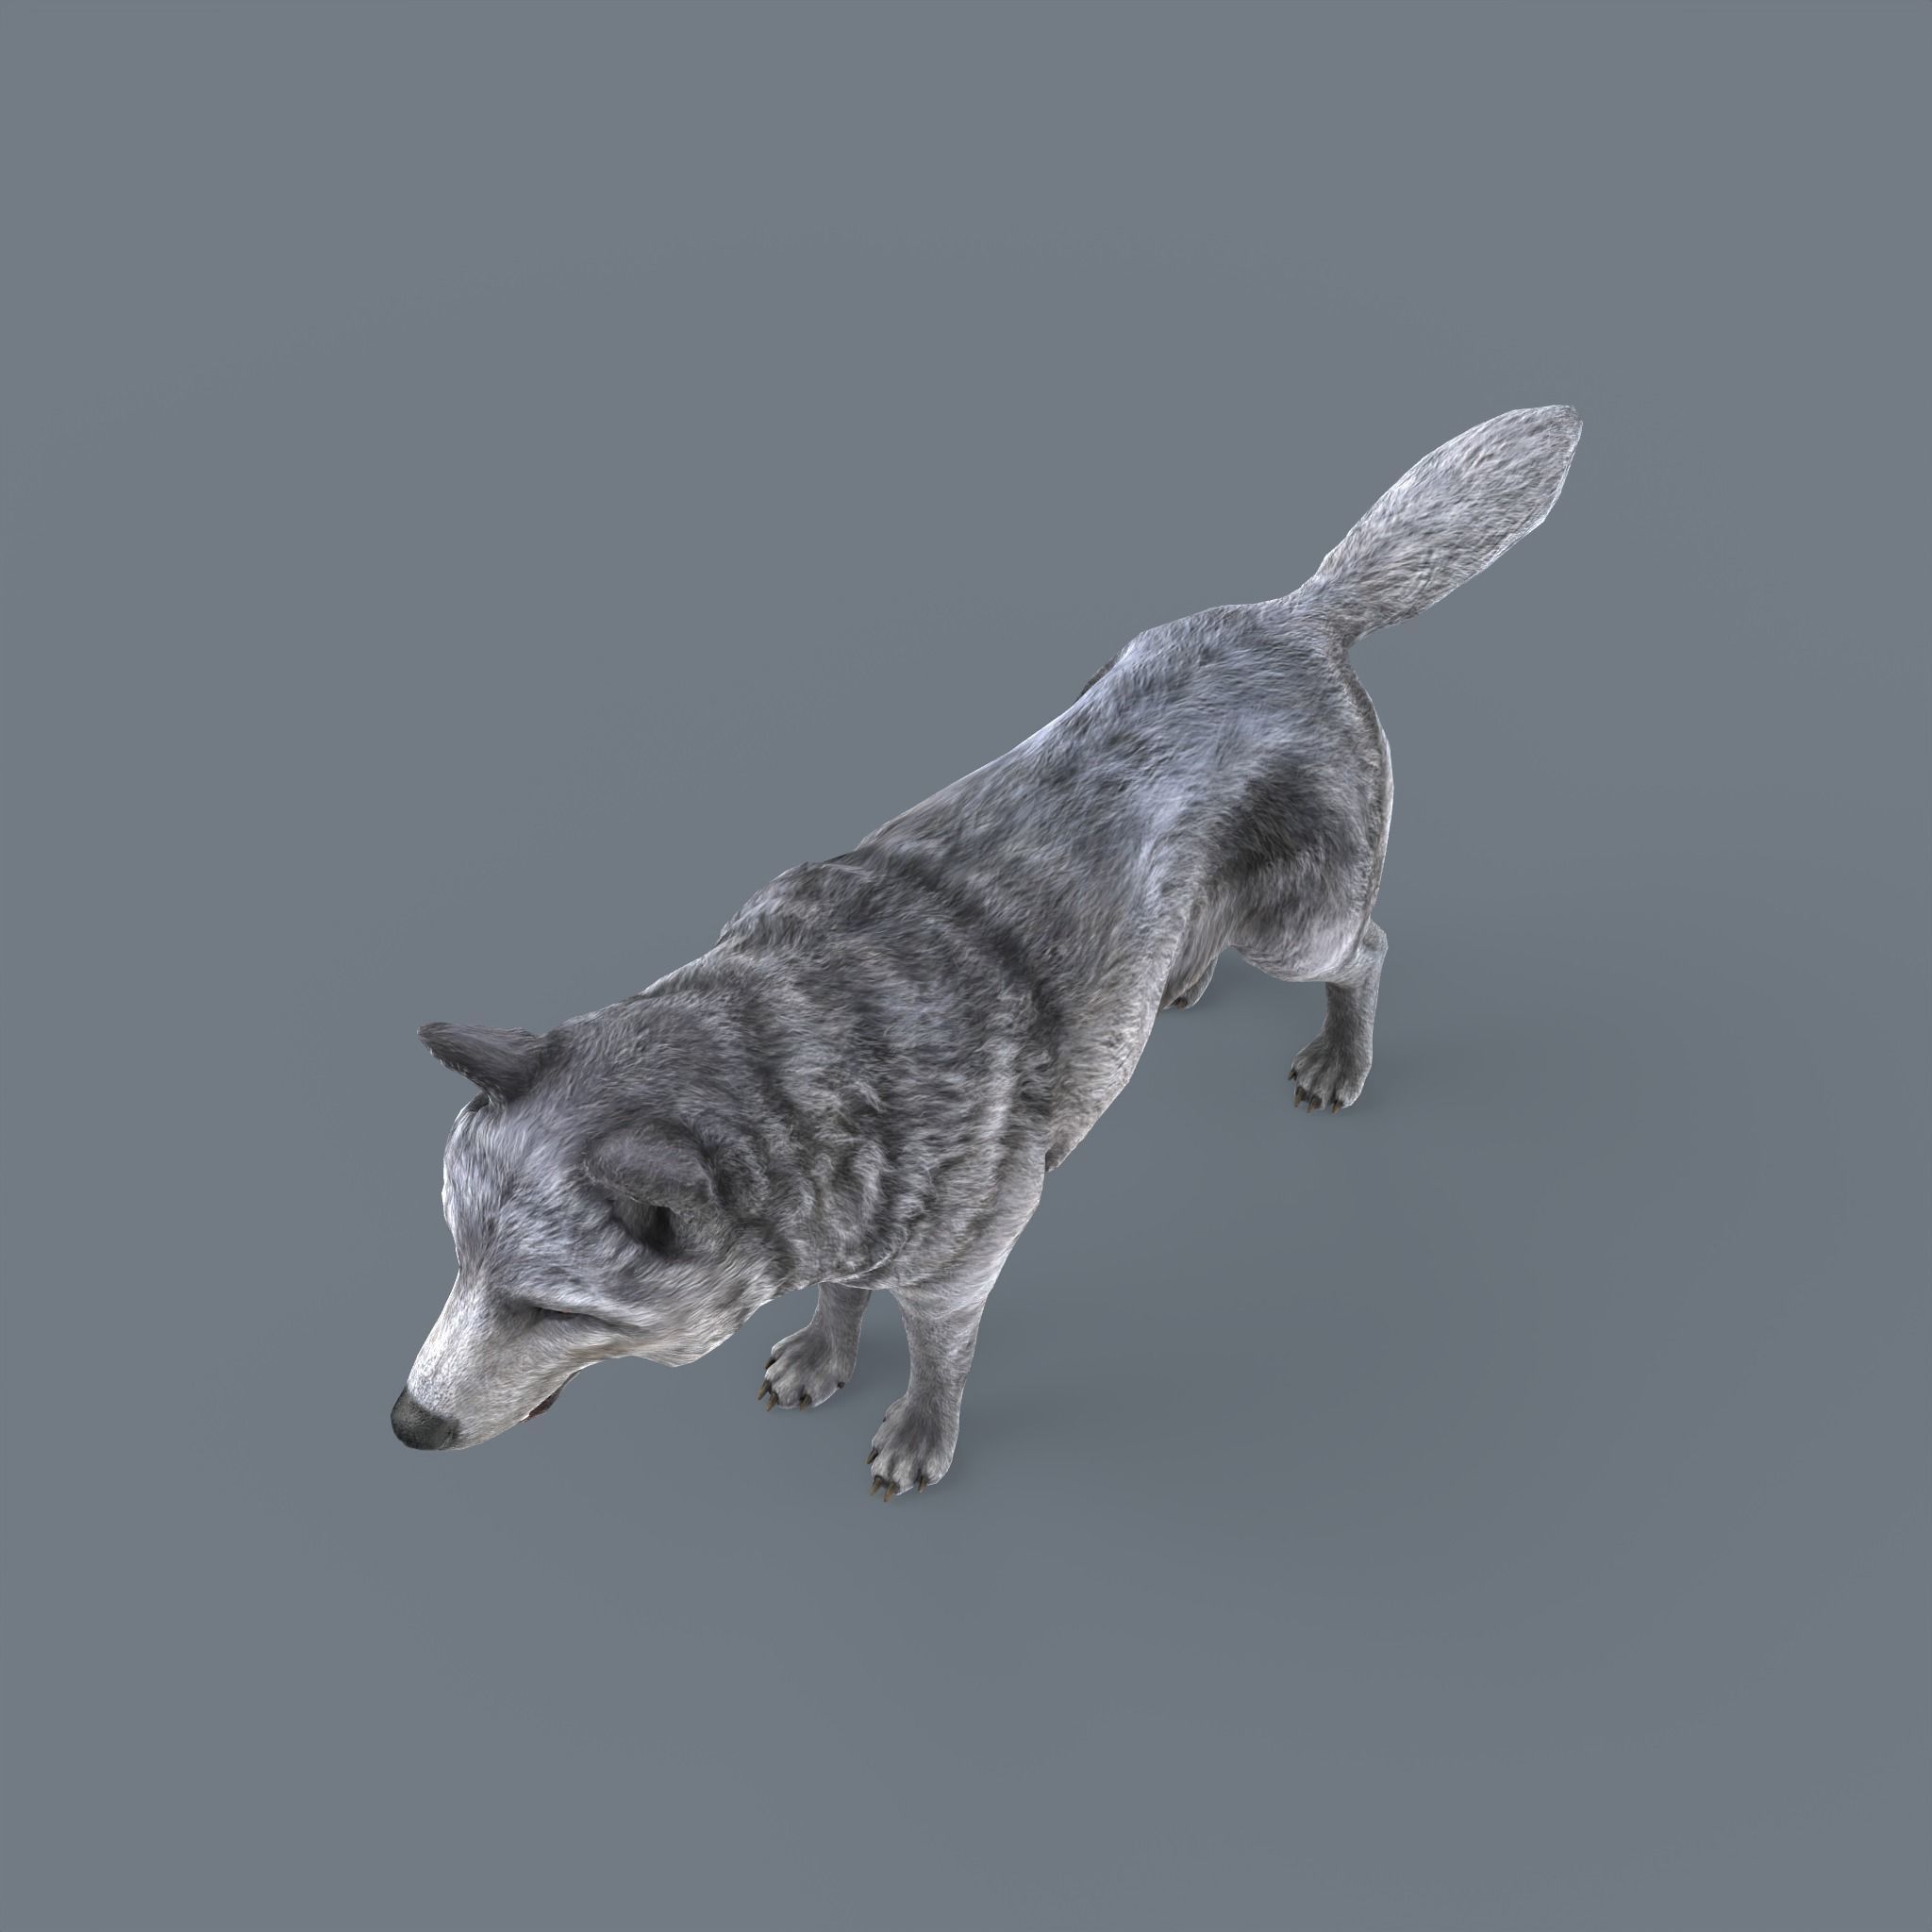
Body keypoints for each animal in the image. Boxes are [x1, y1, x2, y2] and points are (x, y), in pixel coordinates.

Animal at [393, 405, 1582, 1496]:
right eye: (460, 1263)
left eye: (548, 1306)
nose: (407, 1423)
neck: (800, 1050)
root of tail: (1299, 613)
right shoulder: (854, 1222)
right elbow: (840, 1290)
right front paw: (822, 1353)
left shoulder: (962, 1265)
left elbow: (937, 1358)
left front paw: (920, 1433)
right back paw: (1182, 972)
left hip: (1298, 927)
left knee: (1366, 947)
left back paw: (1339, 1055)